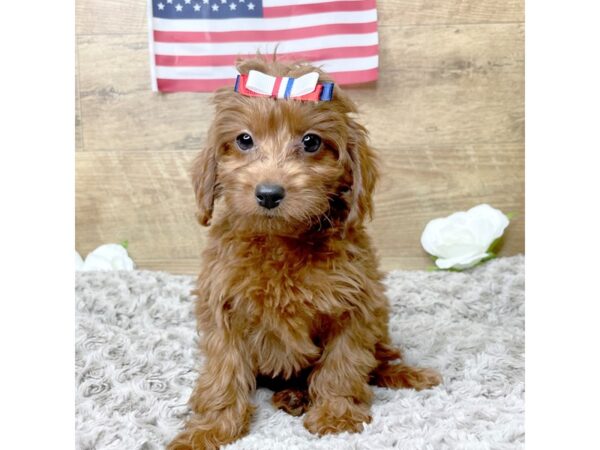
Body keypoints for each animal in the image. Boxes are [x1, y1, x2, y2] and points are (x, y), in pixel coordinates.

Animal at [169, 57, 440, 450]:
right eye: (244, 139)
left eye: (311, 141)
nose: (268, 193)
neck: (282, 241)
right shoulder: (222, 305)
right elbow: (224, 371)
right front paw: (210, 429)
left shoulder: (356, 304)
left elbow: (342, 365)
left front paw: (336, 415)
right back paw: (293, 396)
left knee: (379, 359)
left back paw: (404, 373)